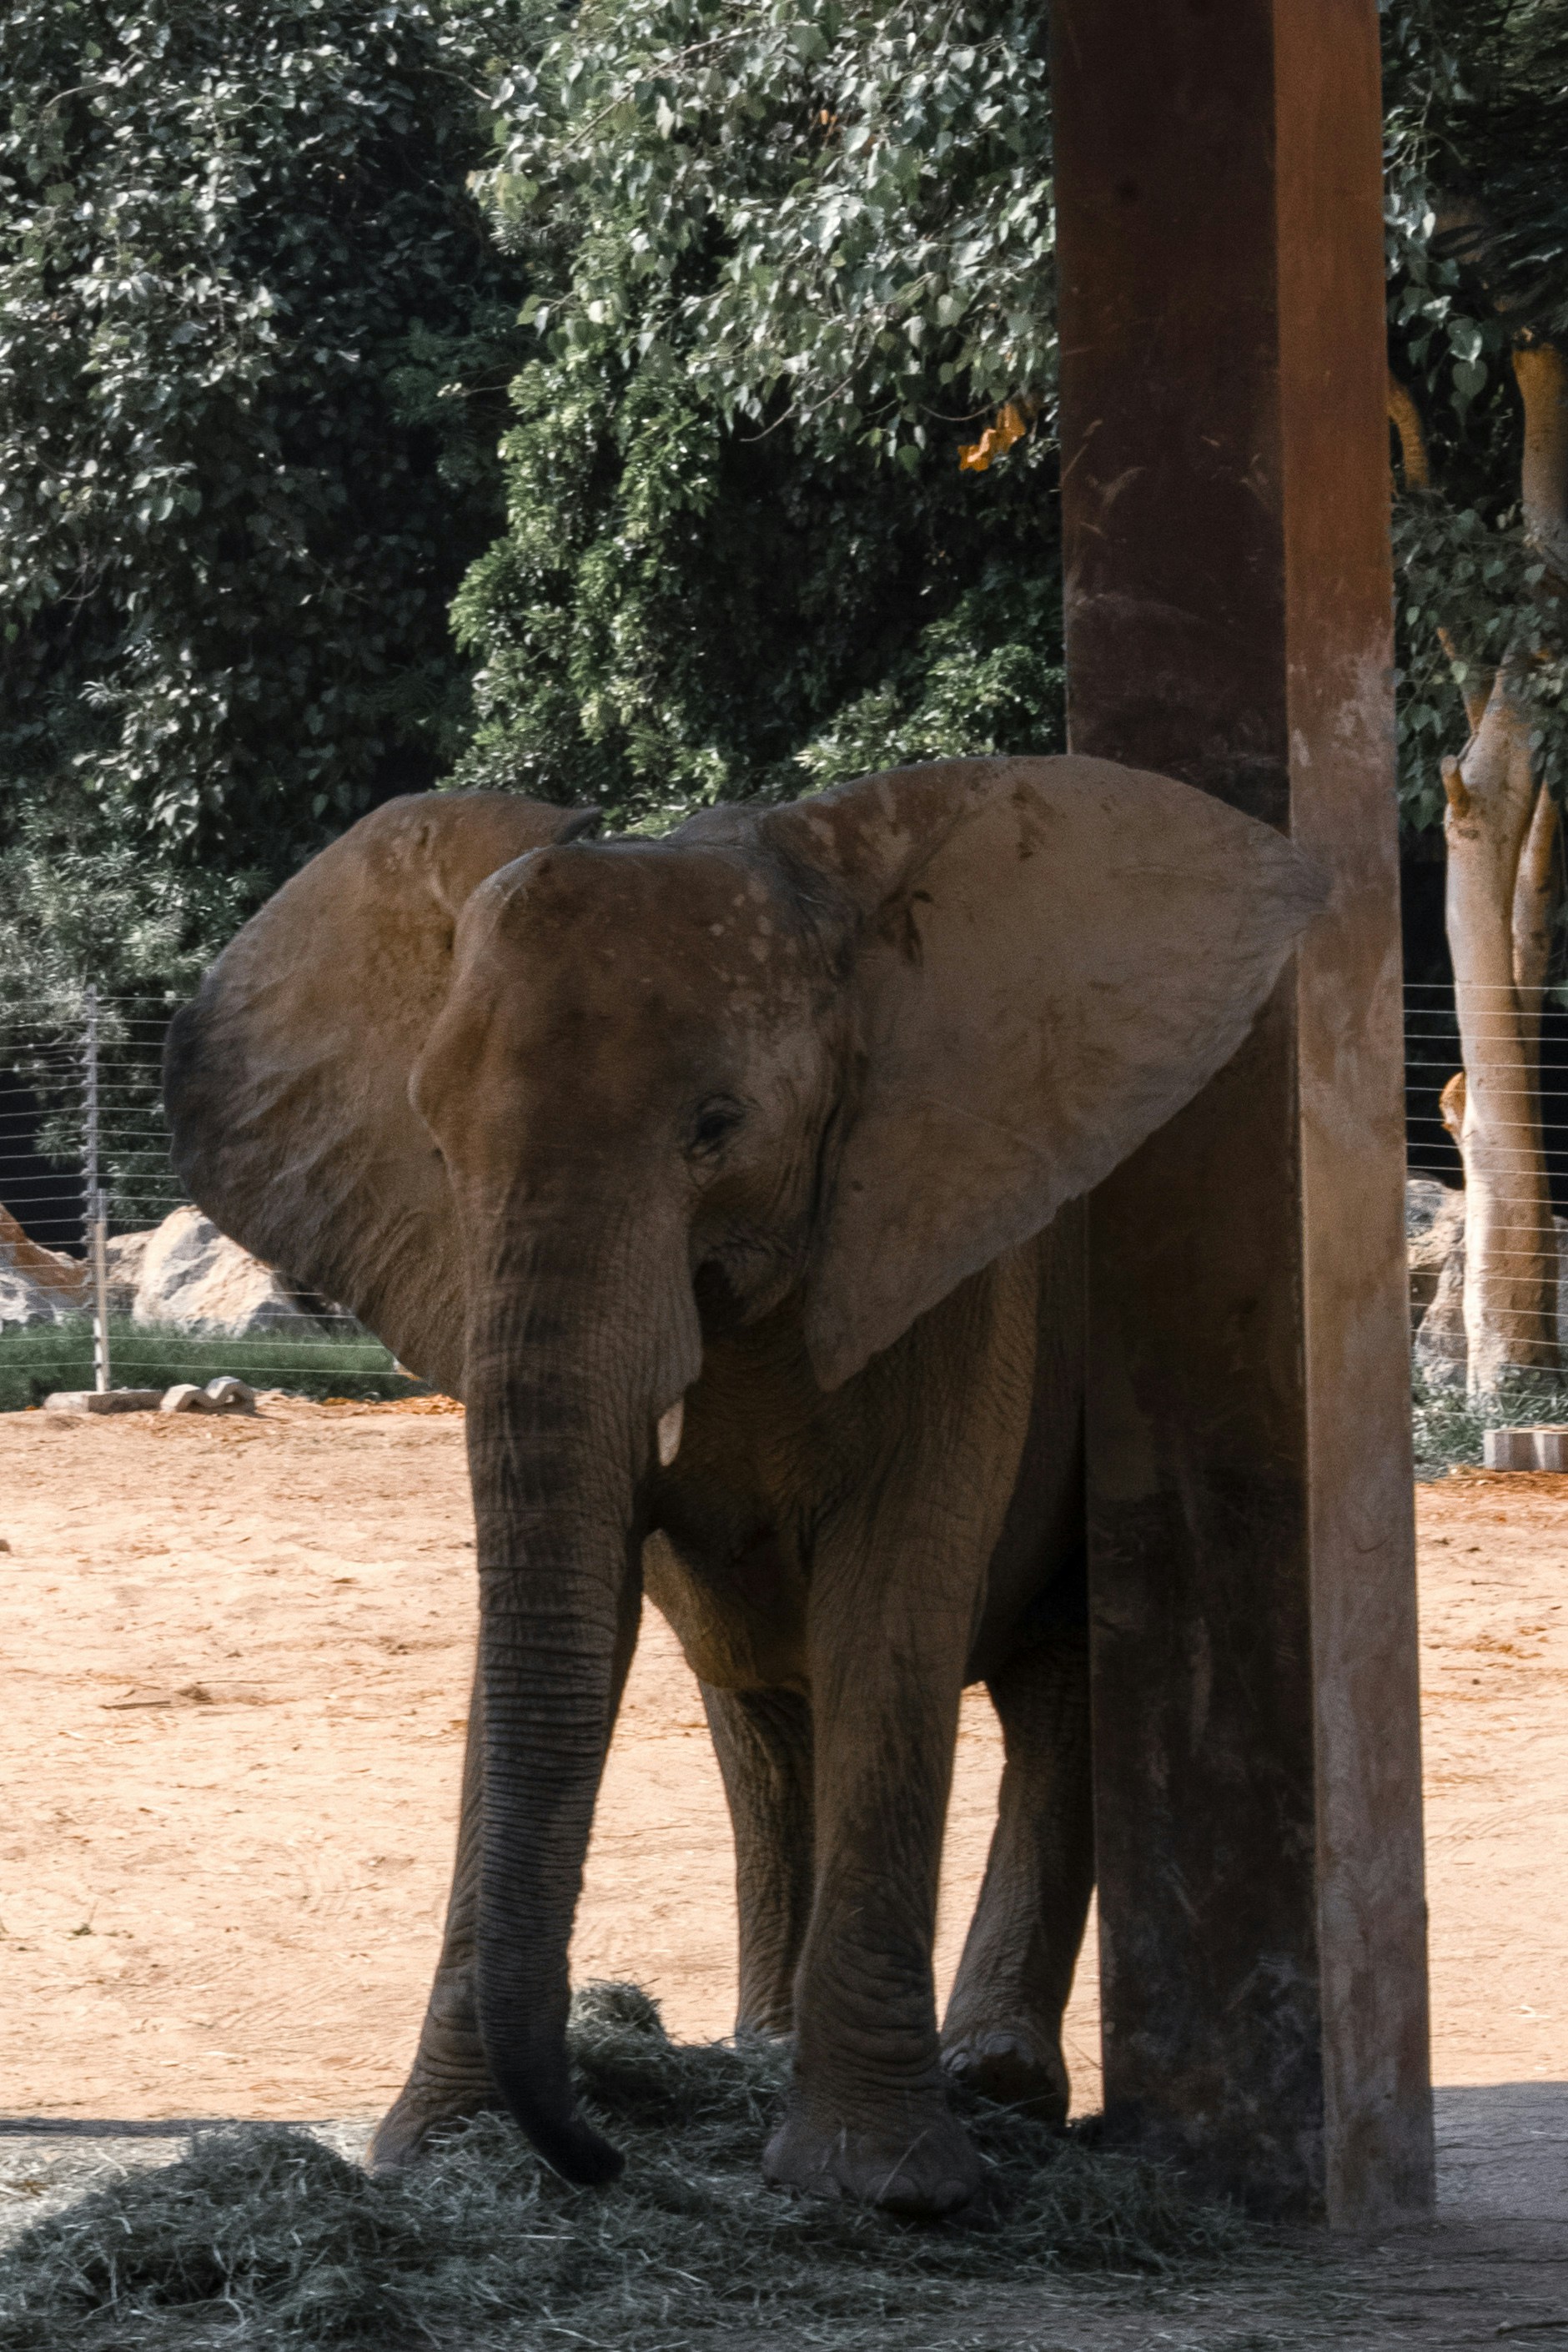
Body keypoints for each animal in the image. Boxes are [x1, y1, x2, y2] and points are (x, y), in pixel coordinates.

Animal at [163, 755, 1323, 2218]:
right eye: (431, 1137)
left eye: (719, 1128)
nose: (602, 2153)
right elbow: (570, 1609)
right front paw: (432, 2154)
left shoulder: (945, 1245)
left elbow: (892, 1602)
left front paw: (881, 2188)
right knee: (765, 1705)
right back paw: (764, 2049)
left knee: (1055, 1684)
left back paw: (994, 2081)